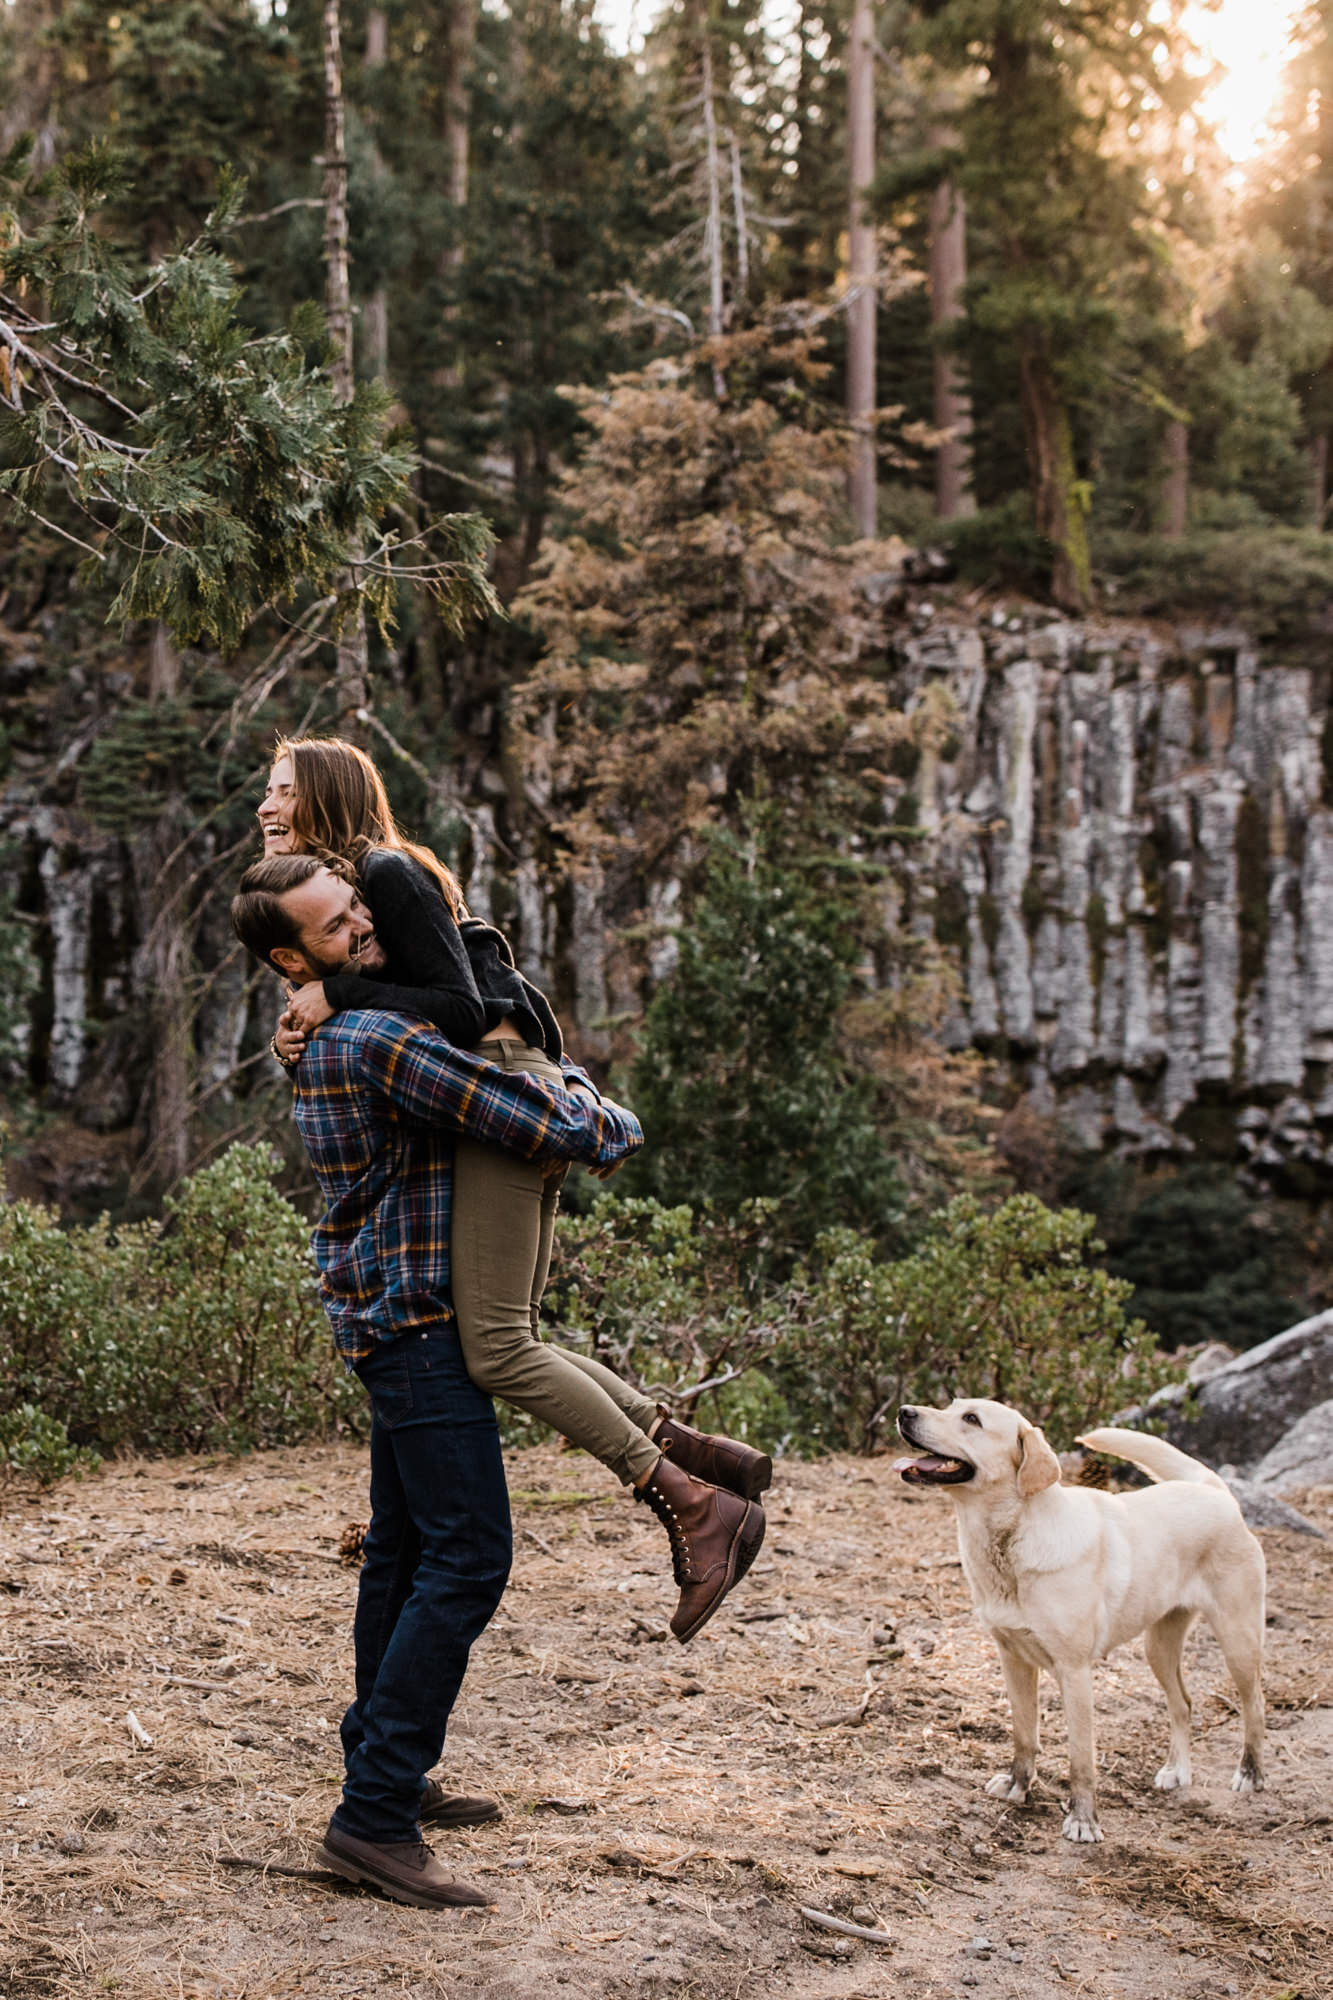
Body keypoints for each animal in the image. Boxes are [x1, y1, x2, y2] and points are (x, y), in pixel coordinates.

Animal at [892, 1392, 1256, 1840]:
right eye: (950, 1405)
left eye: (972, 1419)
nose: (904, 1412)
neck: (1012, 1539)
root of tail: (1212, 1489)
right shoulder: (1012, 1660)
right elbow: (1024, 1734)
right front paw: (1018, 1784)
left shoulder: (1075, 1671)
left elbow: (1081, 1759)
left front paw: (1083, 1820)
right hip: (1159, 1647)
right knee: (1183, 1704)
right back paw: (1177, 1772)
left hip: (1239, 1640)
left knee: (1254, 1706)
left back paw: (1251, 1773)